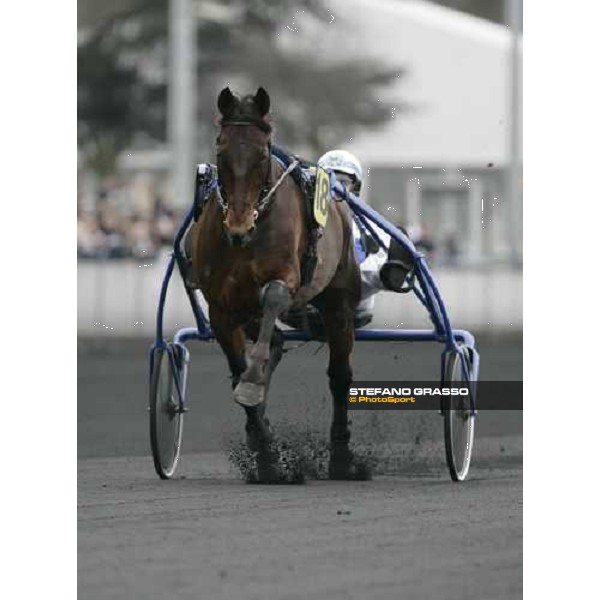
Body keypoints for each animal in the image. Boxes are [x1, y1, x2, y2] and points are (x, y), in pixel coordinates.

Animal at [190, 88, 364, 482]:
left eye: (262, 152)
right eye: (220, 149)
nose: (238, 226)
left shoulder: (285, 279)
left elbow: (273, 296)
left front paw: (254, 382)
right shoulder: (221, 307)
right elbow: (237, 369)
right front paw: (267, 456)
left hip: (339, 300)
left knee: (339, 375)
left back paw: (342, 460)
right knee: (277, 343)